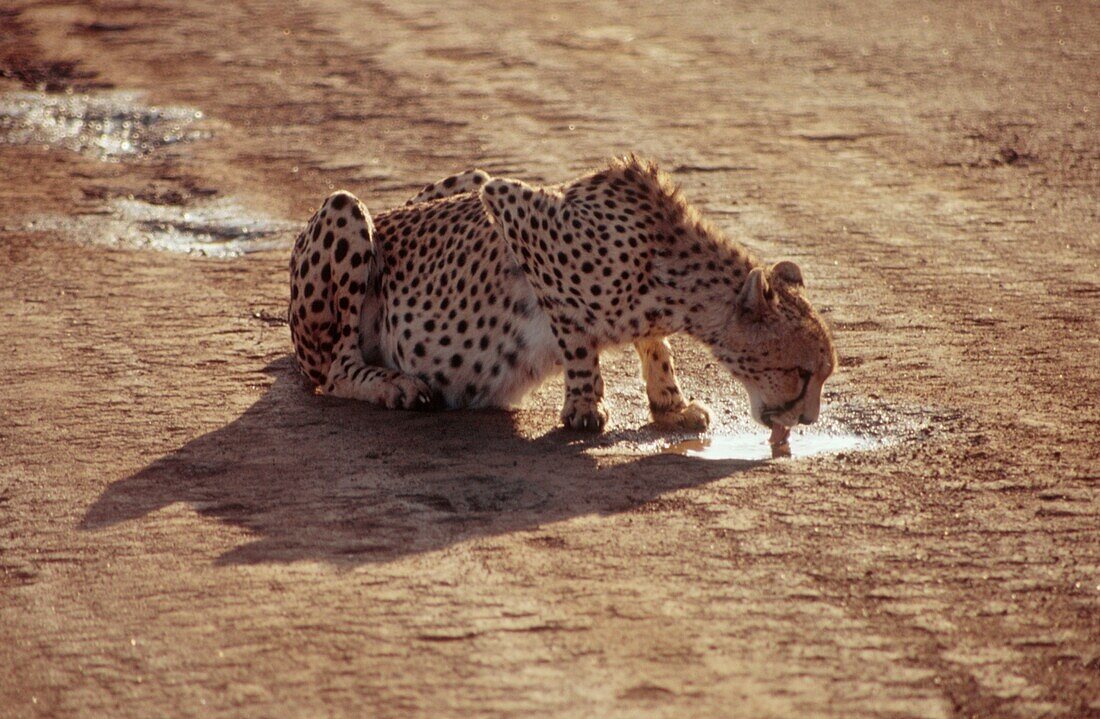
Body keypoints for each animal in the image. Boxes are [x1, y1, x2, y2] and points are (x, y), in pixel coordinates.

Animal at [288, 156, 836, 433]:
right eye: (802, 372)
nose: (808, 419)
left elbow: (655, 344)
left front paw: (669, 404)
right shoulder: (513, 208)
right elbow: (575, 333)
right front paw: (584, 406)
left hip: (472, 173)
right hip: (346, 212)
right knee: (334, 371)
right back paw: (393, 385)